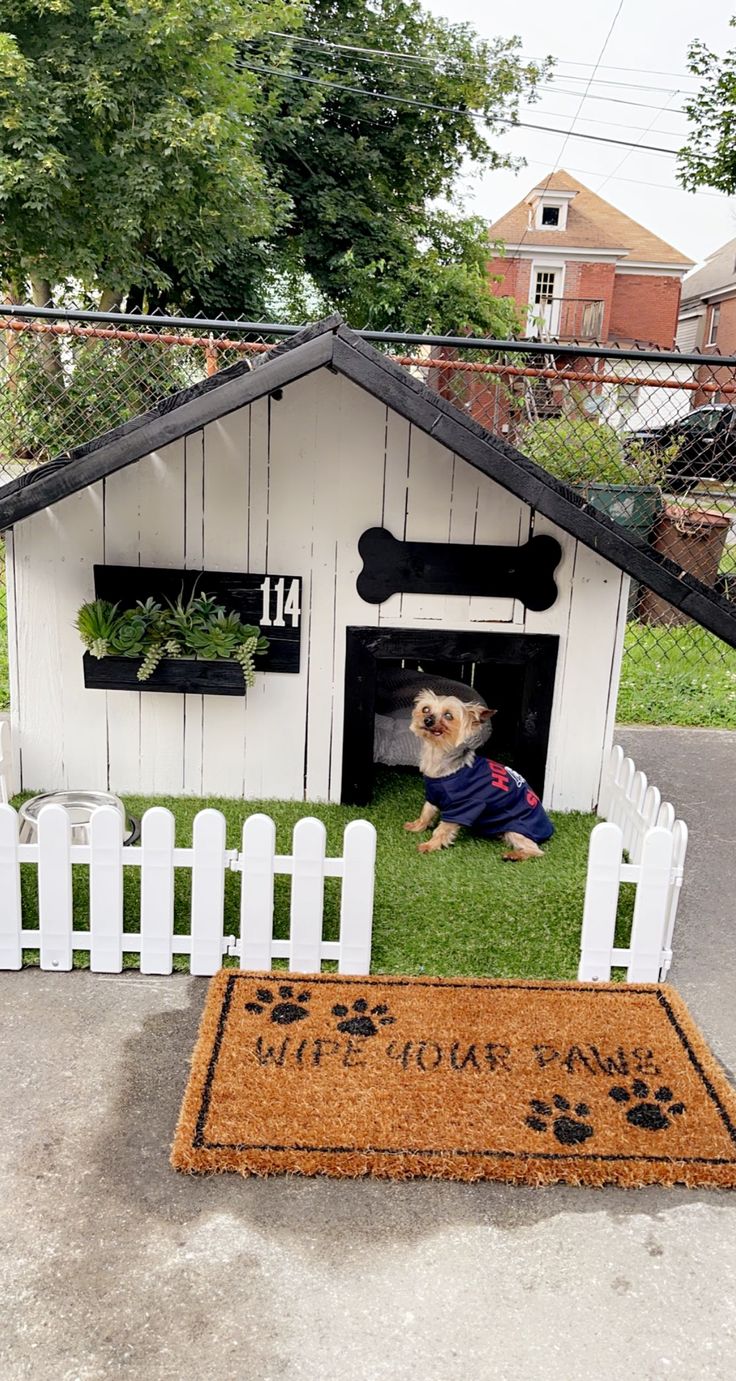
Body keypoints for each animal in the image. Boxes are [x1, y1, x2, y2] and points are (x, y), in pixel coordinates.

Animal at [400, 690, 552, 861]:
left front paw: (430, 845)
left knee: (536, 850)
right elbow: (426, 811)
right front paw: (417, 826)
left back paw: (514, 855)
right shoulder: (433, 794)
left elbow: (443, 828)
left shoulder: (464, 805)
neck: (437, 755)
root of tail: (548, 828)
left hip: (517, 829)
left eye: (448, 715)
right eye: (425, 709)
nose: (427, 720)